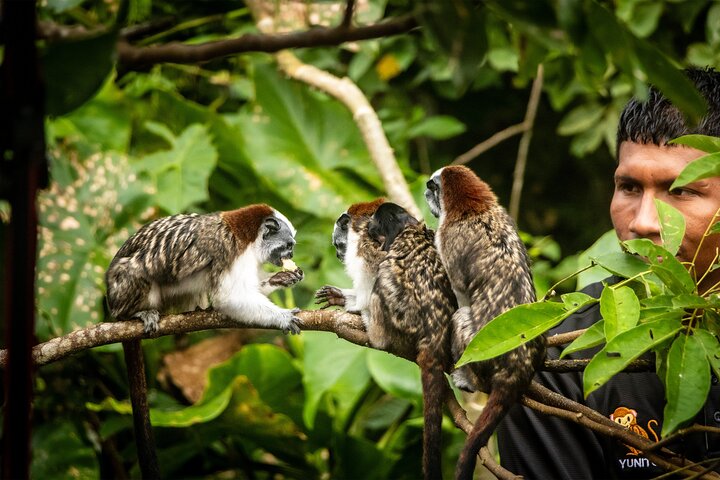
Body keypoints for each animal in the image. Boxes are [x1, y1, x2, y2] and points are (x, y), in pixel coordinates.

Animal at [105, 203, 303, 478]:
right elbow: (229, 298)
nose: (292, 252)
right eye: (287, 245)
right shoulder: (230, 253)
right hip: (122, 290)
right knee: (140, 269)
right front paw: (282, 317)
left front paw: (282, 279)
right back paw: (135, 314)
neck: (249, 238)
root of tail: (110, 300)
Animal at [366, 202, 457, 480]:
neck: (406, 225)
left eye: (374, 221)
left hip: (405, 317)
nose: (368, 226)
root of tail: (436, 333)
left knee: (385, 275)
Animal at [425, 165, 546, 480]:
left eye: (431, 187)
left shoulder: (447, 237)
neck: (474, 209)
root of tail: (517, 366)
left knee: (461, 318)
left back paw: (468, 380)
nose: (426, 193)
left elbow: (460, 291)